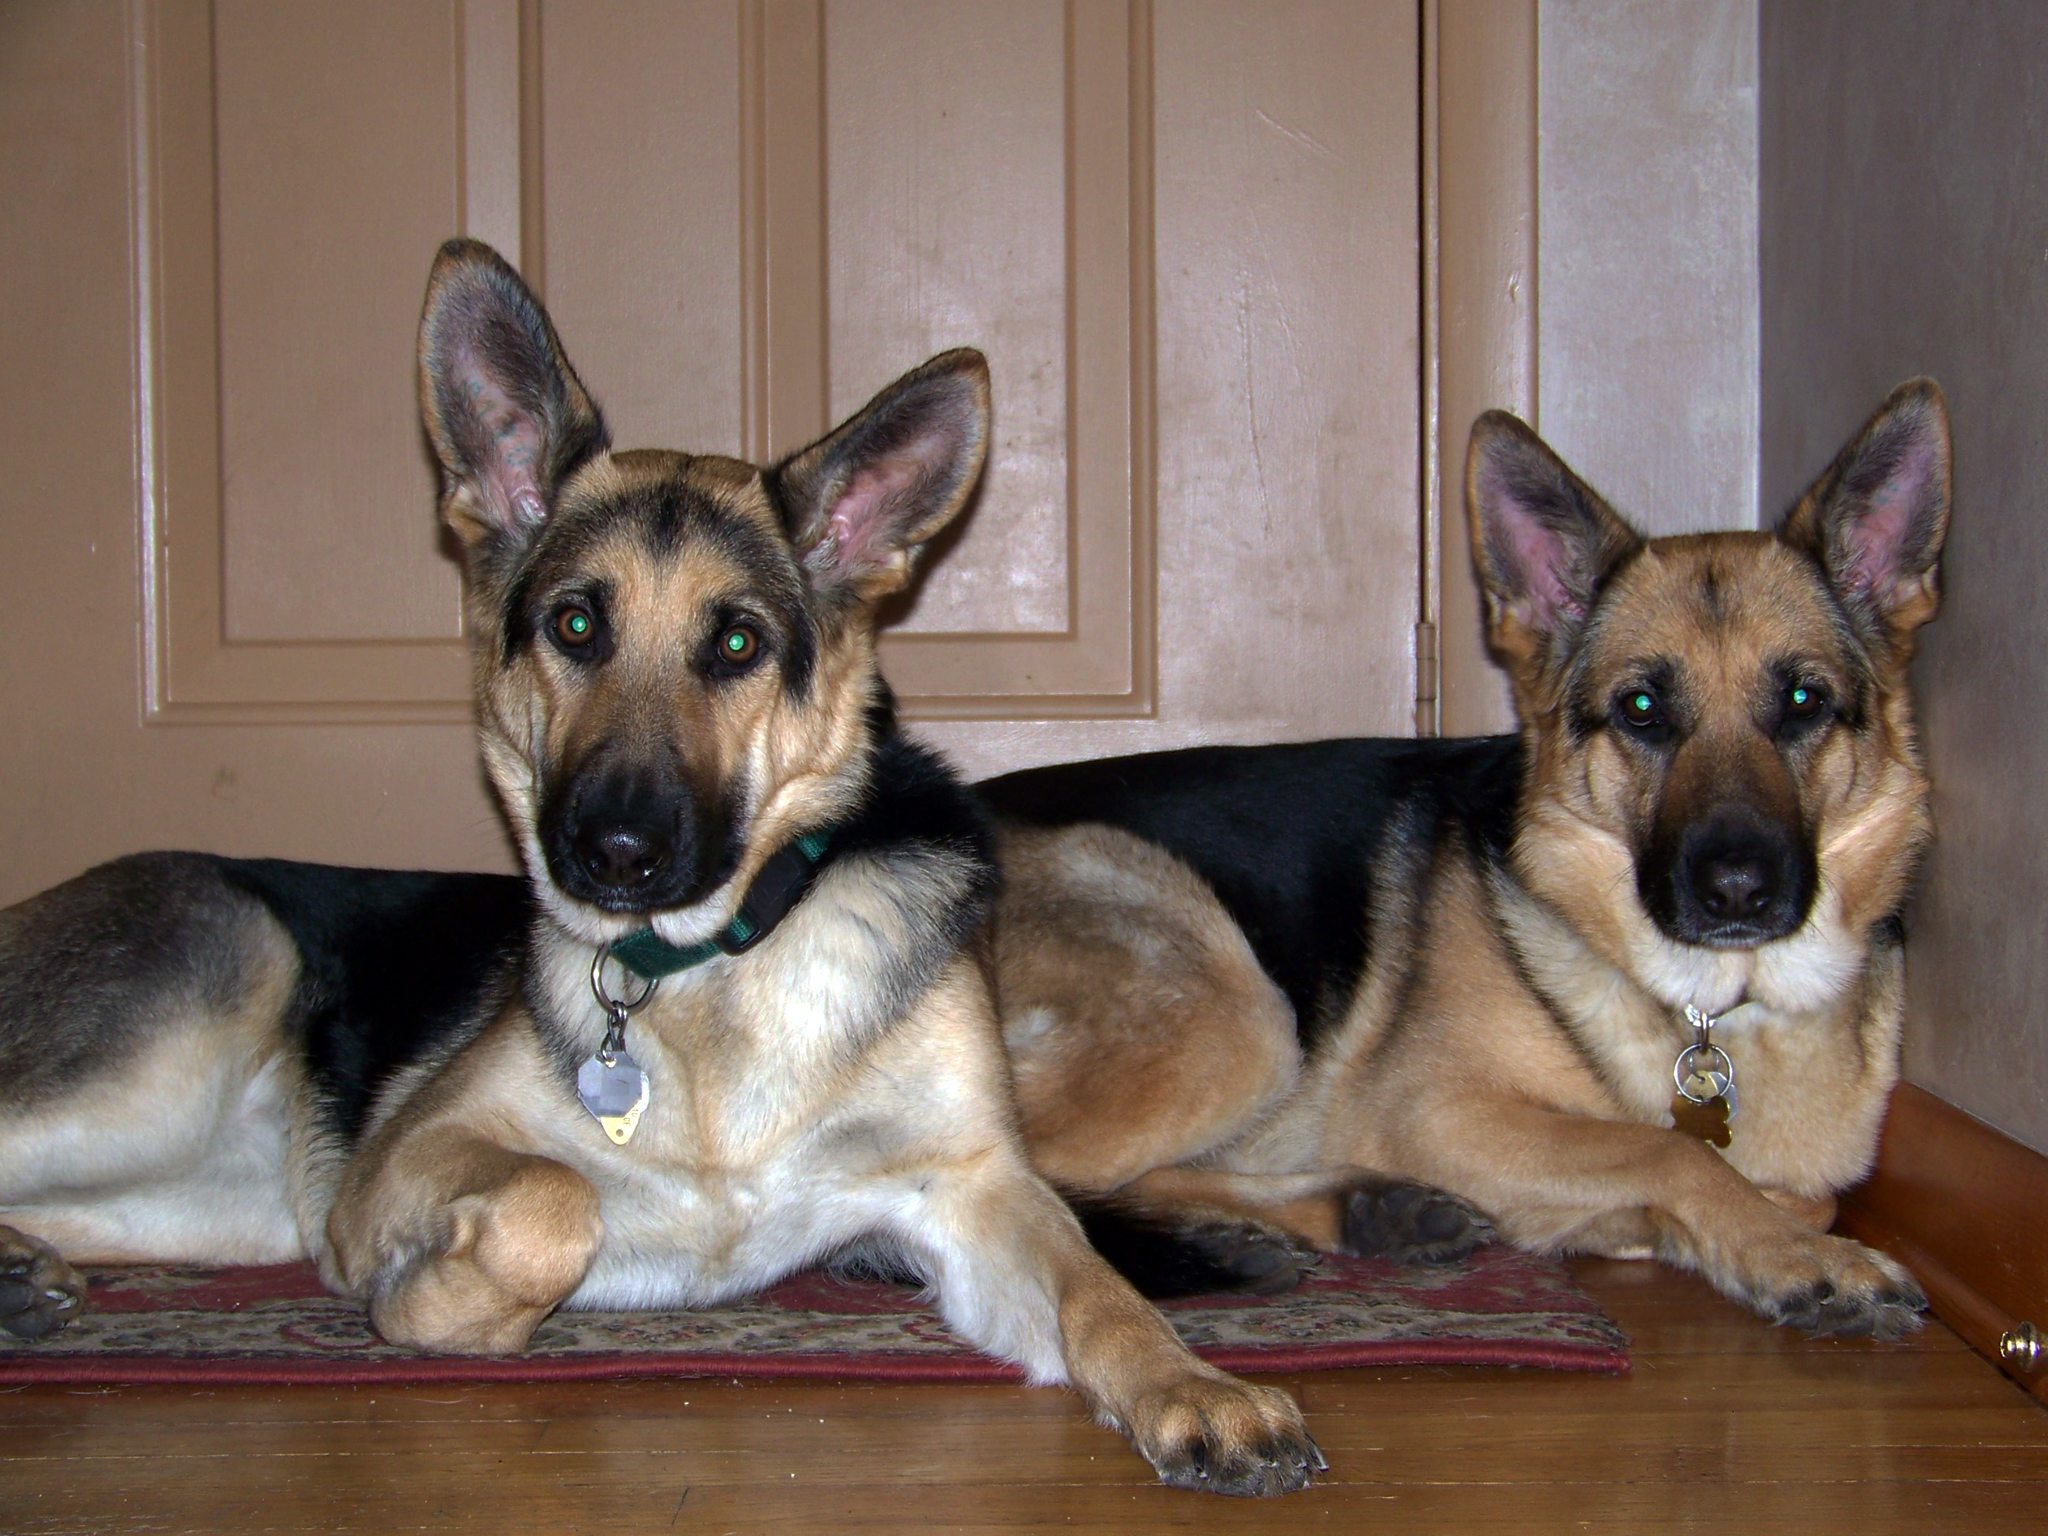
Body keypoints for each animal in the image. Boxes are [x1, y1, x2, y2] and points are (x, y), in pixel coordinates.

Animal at [0, 246, 1318, 1499]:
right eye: (575, 625)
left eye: (735, 643)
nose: (616, 855)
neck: (705, 975)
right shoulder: (400, 1159)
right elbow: (550, 1205)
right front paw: (430, 1308)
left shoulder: (977, 1193)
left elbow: (1099, 1291)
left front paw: (1193, 1387)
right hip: (182, 1031)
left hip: (197, 1187)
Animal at [983, 378, 1941, 1343]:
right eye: (1640, 709)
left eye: (1803, 700)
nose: (1738, 891)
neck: (1713, 1006)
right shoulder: (1440, 1111)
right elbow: (1670, 1152)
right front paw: (1802, 1257)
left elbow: (1786, 1188)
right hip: (1234, 1003)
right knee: (1017, 1186)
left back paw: (1358, 1212)